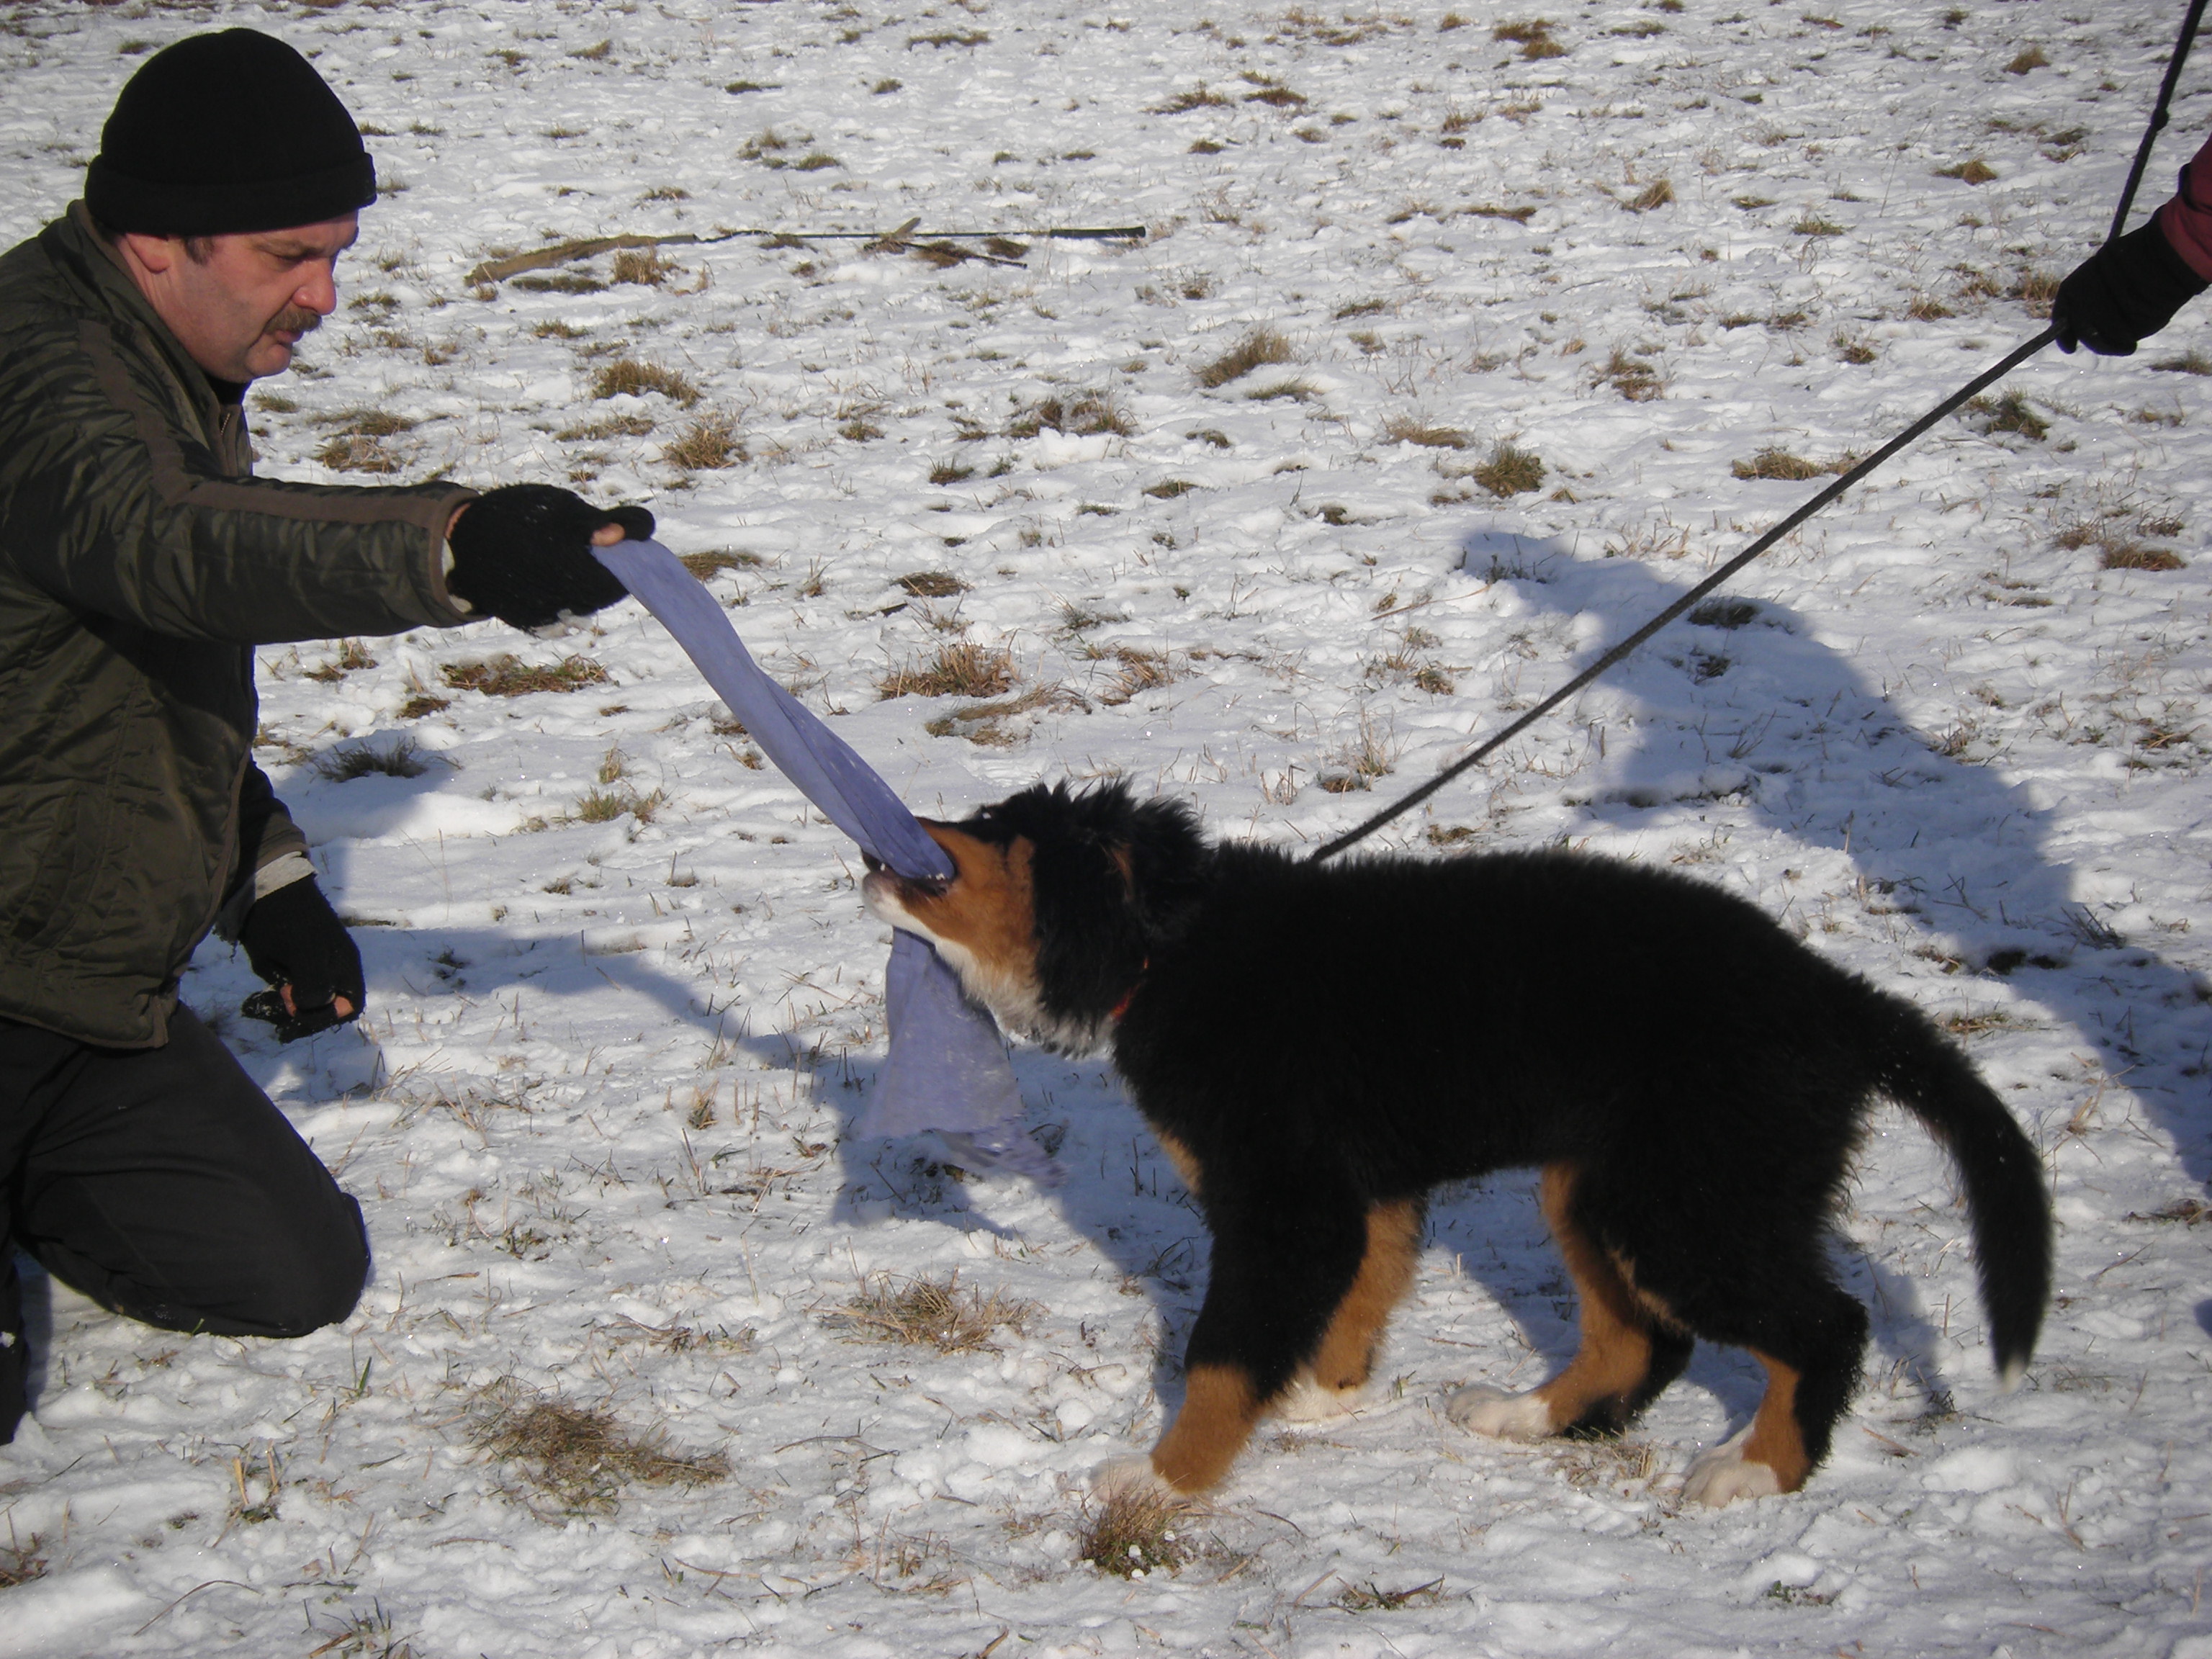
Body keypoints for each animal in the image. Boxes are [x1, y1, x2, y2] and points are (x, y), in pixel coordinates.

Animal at [863, 787, 2052, 1513]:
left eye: (990, 828)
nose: (882, 842)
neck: (1171, 949)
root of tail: (1834, 996)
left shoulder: (1284, 1199)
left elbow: (1221, 1354)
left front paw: (1168, 1481)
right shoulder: (1361, 1192)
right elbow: (1361, 1294)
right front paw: (1322, 1395)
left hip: (1685, 1199)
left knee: (1825, 1325)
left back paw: (1757, 1471)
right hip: (1602, 1184)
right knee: (1642, 1340)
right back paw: (1528, 1416)